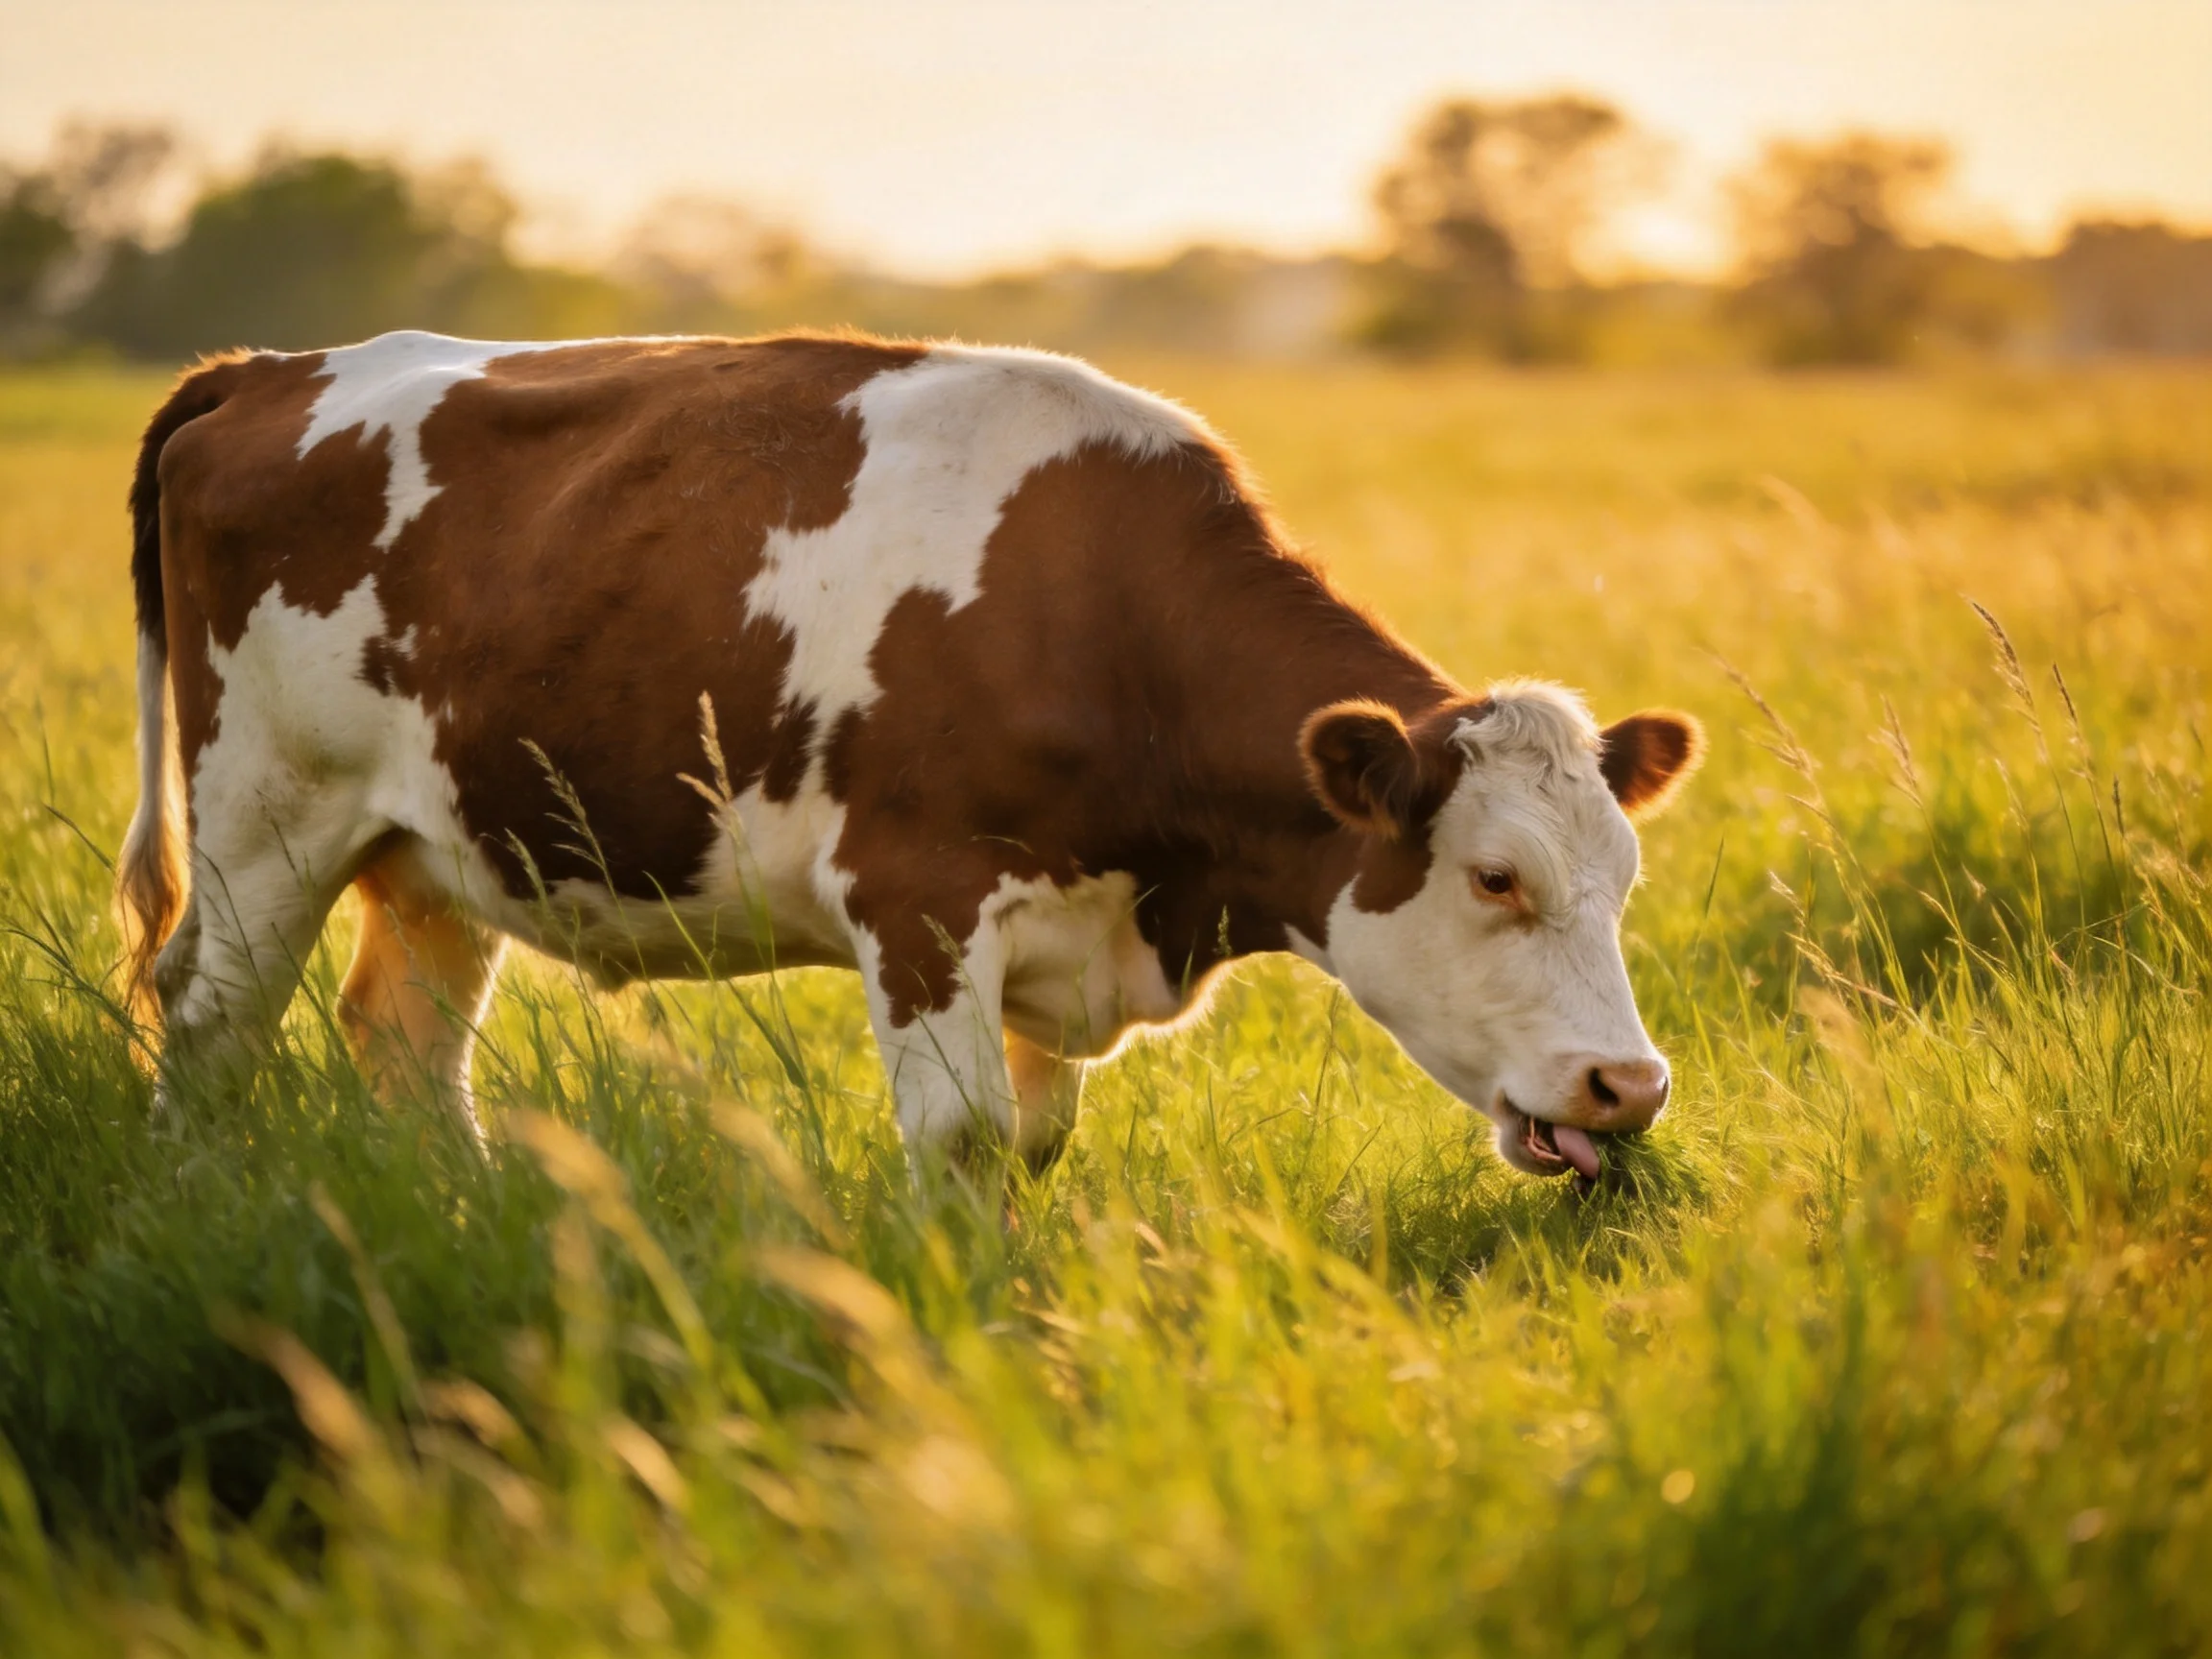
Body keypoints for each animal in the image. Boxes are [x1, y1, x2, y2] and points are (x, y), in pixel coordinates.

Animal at [116, 330, 1702, 1183]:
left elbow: (1036, 1144)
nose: (1629, 1088)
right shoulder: (921, 897)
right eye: (1494, 878)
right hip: (264, 818)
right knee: (208, 1018)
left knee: (401, 1045)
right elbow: (961, 1139)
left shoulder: (1064, 941)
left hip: (438, 847)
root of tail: (269, 369)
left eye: (1624, 880)